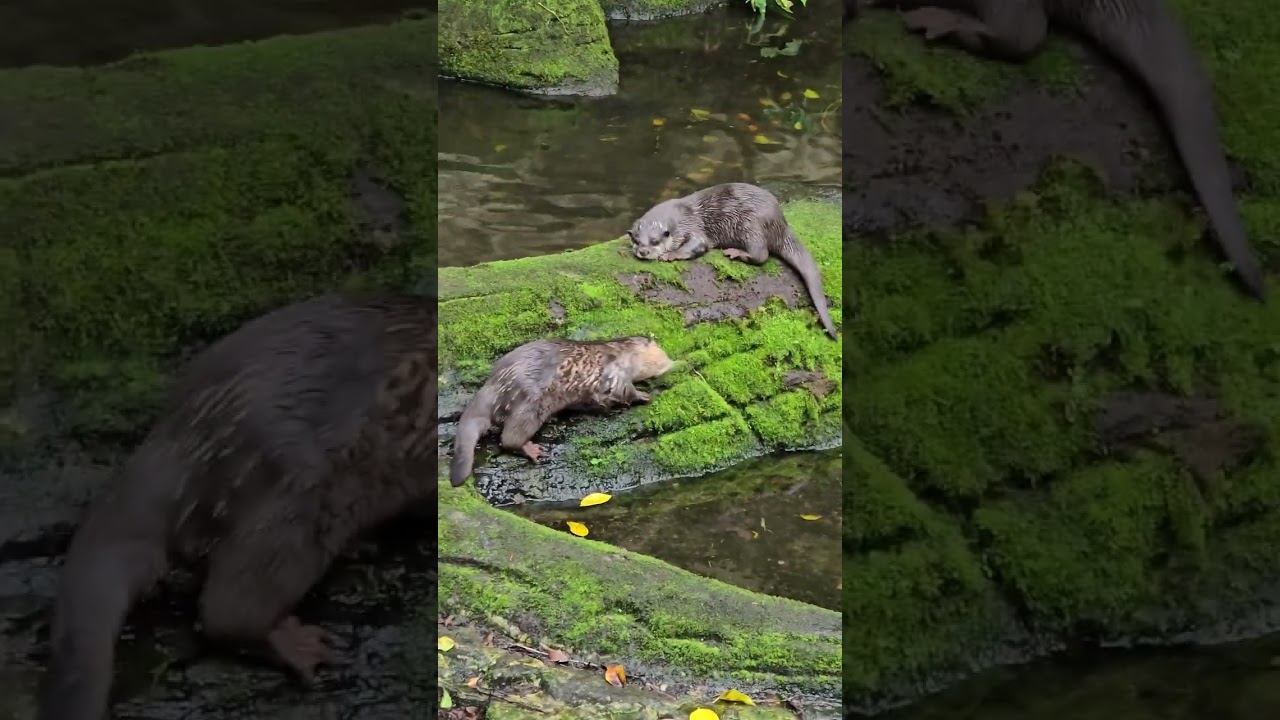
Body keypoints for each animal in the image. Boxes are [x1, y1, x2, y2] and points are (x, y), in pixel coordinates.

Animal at [449, 336, 674, 487]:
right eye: (663, 355)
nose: (672, 363)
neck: (623, 354)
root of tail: (493, 385)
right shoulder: (615, 375)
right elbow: (624, 392)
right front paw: (645, 395)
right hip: (531, 403)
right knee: (509, 438)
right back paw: (532, 449)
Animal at [627, 183, 839, 340]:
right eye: (636, 240)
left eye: (655, 241)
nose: (643, 251)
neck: (679, 218)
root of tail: (781, 224)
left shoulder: (693, 227)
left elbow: (698, 244)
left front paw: (671, 254)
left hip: (751, 226)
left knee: (761, 255)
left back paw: (735, 253)